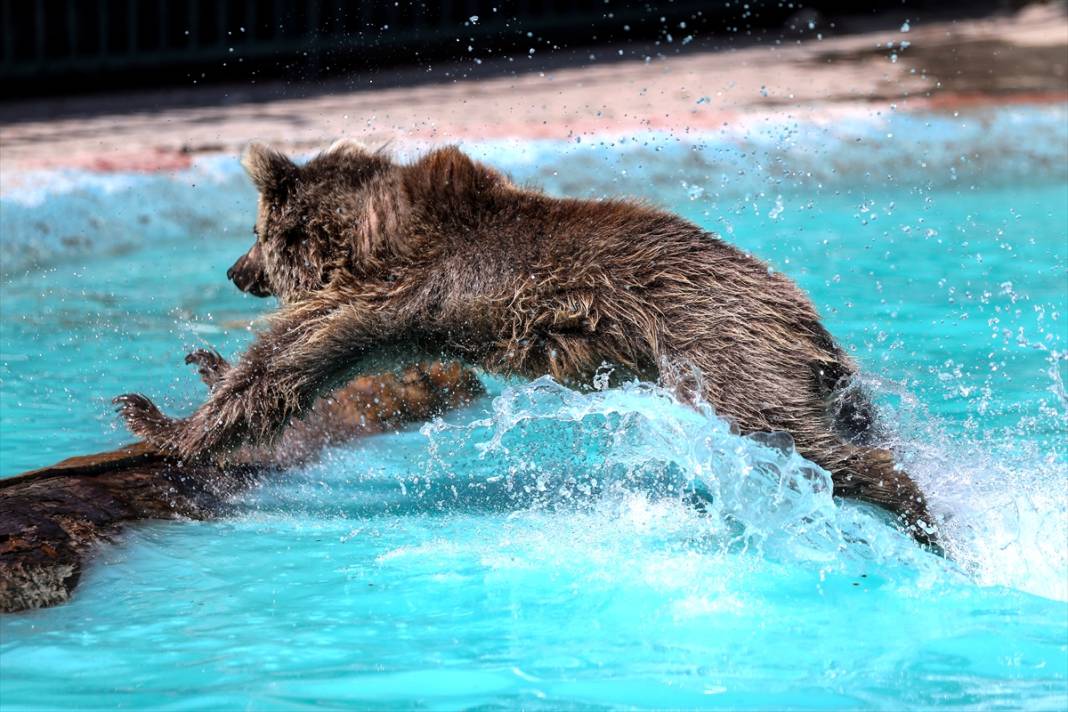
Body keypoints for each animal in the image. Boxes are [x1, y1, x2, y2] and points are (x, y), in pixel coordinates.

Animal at [114, 138, 935, 542]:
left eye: (253, 231)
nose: (235, 270)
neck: (356, 242)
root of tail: (803, 313)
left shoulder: (391, 294)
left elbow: (288, 362)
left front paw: (159, 419)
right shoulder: (403, 317)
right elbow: (306, 367)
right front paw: (202, 365)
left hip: (723, 345)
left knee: (794, 434)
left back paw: (920, 510)